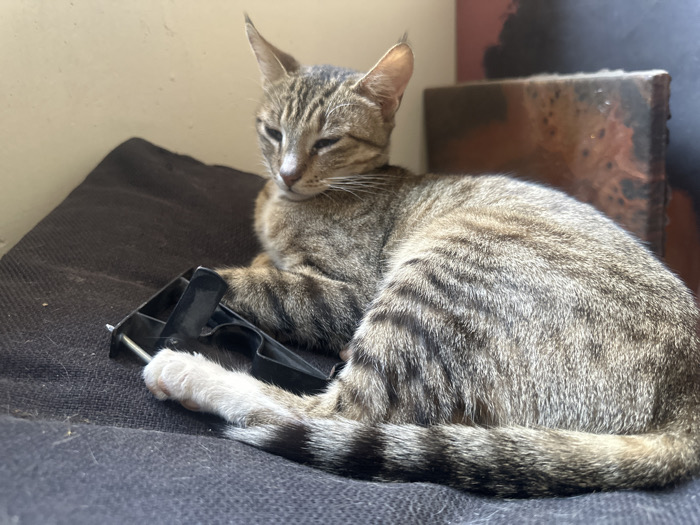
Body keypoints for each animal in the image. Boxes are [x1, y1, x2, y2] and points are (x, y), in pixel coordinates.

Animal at [142, 16, 700, 497]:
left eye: (328, 141)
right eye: (273, 132)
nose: (287, 172)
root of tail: (688, 394)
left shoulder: (349, 291)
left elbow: (262, 286)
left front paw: (200, 284)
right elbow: (266, 265)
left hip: (438, 277)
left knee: (335, 413)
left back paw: (188, 372)